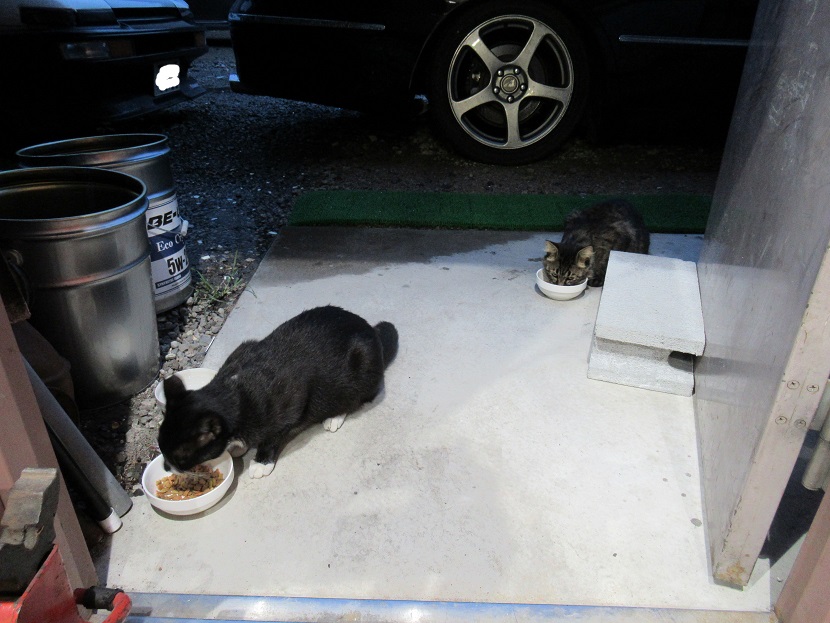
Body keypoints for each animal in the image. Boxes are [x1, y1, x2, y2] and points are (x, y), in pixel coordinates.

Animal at [158, 305, 398, 479]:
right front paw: (237, 446)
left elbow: (273, 435)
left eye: (179, 458)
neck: (232, 390)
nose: (167, 467)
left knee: (357, 397)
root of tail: (370, 330)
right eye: (161, 446)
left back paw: (334, 416)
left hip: (362, 367)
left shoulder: (291, 399)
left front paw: (261, 461)